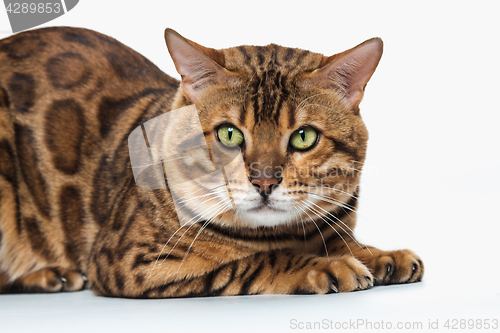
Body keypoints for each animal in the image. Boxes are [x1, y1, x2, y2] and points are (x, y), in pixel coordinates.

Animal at [0, 26, 424, 296]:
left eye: (304, 137)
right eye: (229, 134)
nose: (265, 181)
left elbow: (343, 240)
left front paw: (381, 254)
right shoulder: (134, 261)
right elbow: (259, 260)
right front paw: (324, 265)